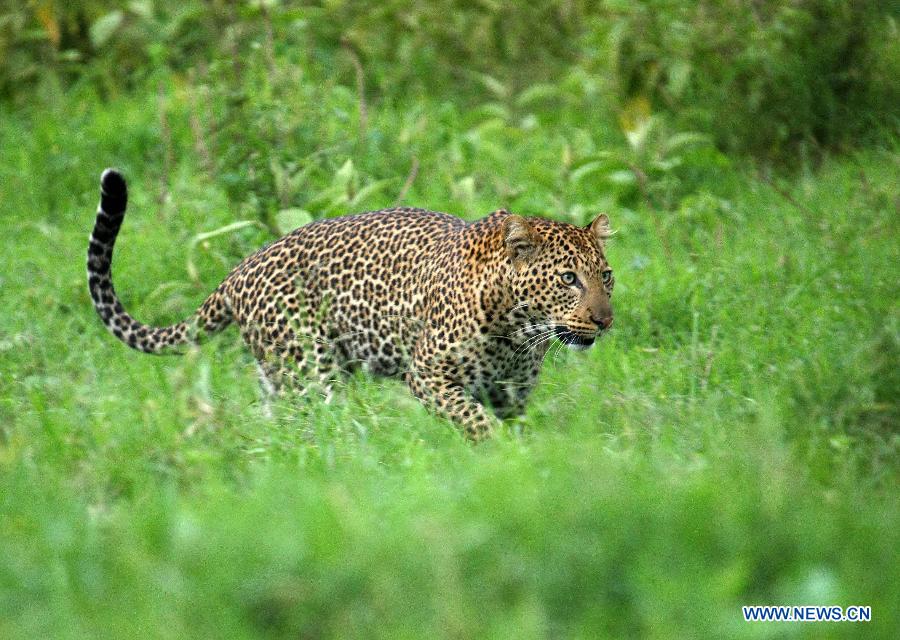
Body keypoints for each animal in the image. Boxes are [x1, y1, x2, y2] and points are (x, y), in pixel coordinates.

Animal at [88, 169, 612, 440]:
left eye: (605, 277)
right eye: (568, 279)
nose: (605, 321)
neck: (518, 331)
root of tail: (239, 271)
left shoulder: (512, 393)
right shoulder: (427, 374)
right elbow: (474, 419)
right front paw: (496, 453)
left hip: (278, 375)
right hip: (309, 367)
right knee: (321, 421)